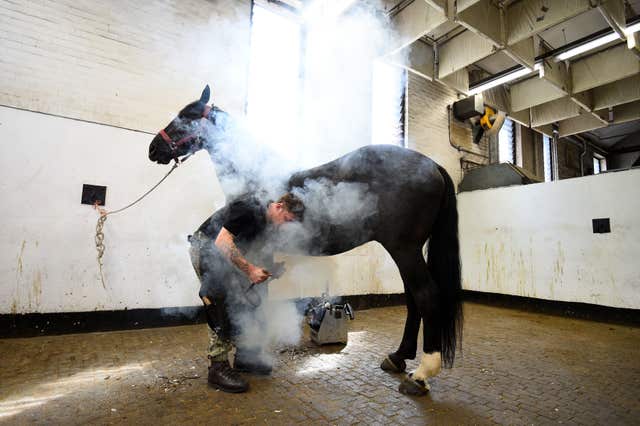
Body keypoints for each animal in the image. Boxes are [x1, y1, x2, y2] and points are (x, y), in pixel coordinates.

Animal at [148, 86, 462, 396]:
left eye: (185, 117)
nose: (153, 148)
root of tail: (432, 165)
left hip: (404, 249)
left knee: (426, 295)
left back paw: (421, 375)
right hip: (406, 250)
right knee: (413, 299)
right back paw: (398, 357)